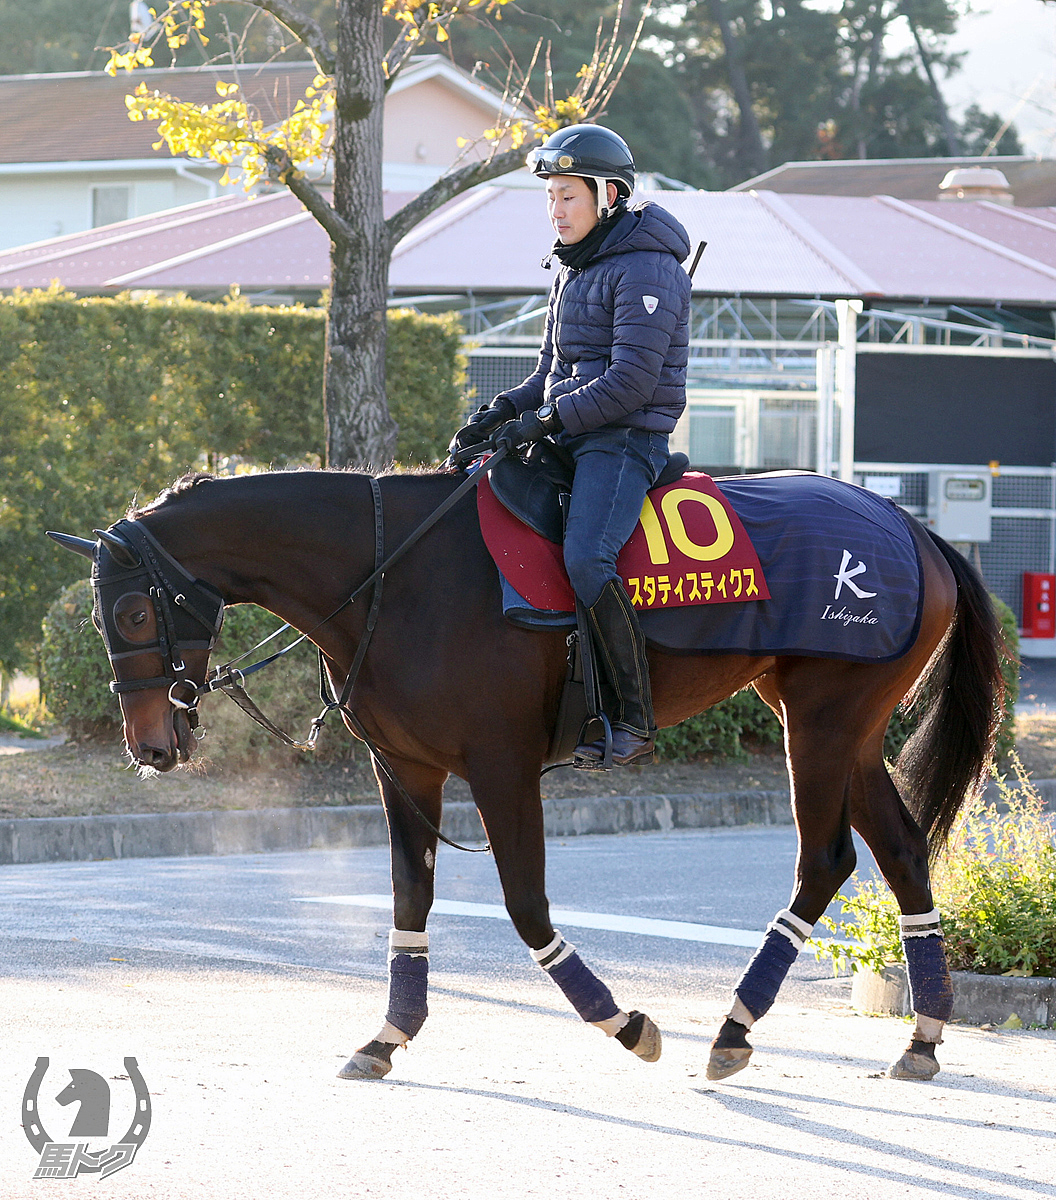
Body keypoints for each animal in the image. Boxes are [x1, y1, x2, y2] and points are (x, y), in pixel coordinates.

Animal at [49, 463, 1003, 1084]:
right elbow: (409, 900)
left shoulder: (502, 767)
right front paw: (388, 1033)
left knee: (826, 860)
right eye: (99, 619)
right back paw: (921, 1036)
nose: (150, 746)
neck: (397, 573)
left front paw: (624, 1022)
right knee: (903, 852)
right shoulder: (404, 769)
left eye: (133, 612)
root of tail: (914, 529)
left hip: (823, 719)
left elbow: (525, 905)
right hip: (846, 727)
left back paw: (735, 1025)